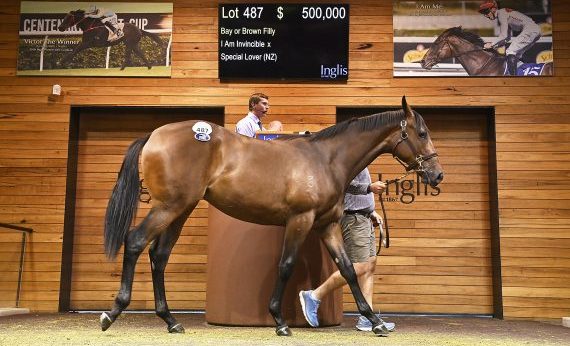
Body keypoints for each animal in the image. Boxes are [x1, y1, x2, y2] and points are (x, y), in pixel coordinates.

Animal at [100, 96, 442, 336]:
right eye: (422, 132)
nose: (437, 175)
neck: (326, 159)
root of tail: (153, 135)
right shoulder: (300, 220)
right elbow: (287, 265)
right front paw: (279, 320)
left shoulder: (327, 224)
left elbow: (347, 269)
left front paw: (375, 321)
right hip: (169, 206)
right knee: (135, 242)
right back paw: (113, 312)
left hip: (181, 209)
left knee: (159, 256)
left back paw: (170, 320)